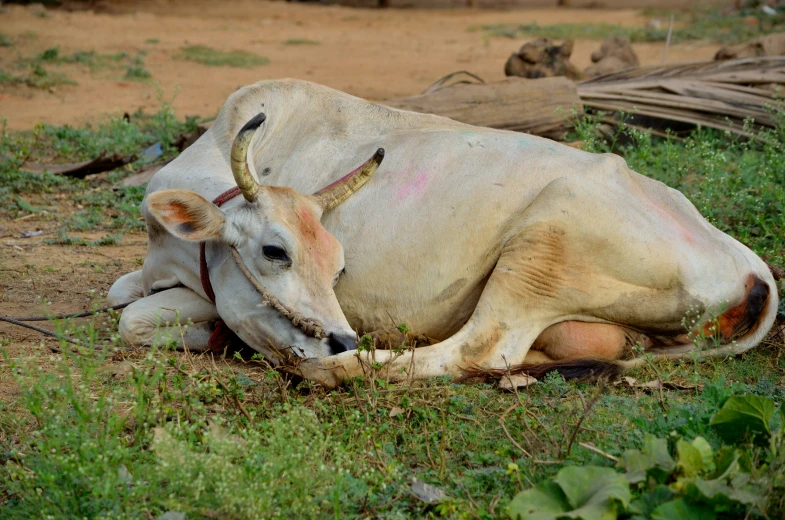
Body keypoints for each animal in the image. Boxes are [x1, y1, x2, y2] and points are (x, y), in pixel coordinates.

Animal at [107, 79, 776, 388]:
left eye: (340, 267)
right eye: (275, 251)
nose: (342, 338)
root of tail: (753, 270)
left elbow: (130, 320)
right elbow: (124, 303)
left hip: (542, 246)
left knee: (476, 349)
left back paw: (335, 371)